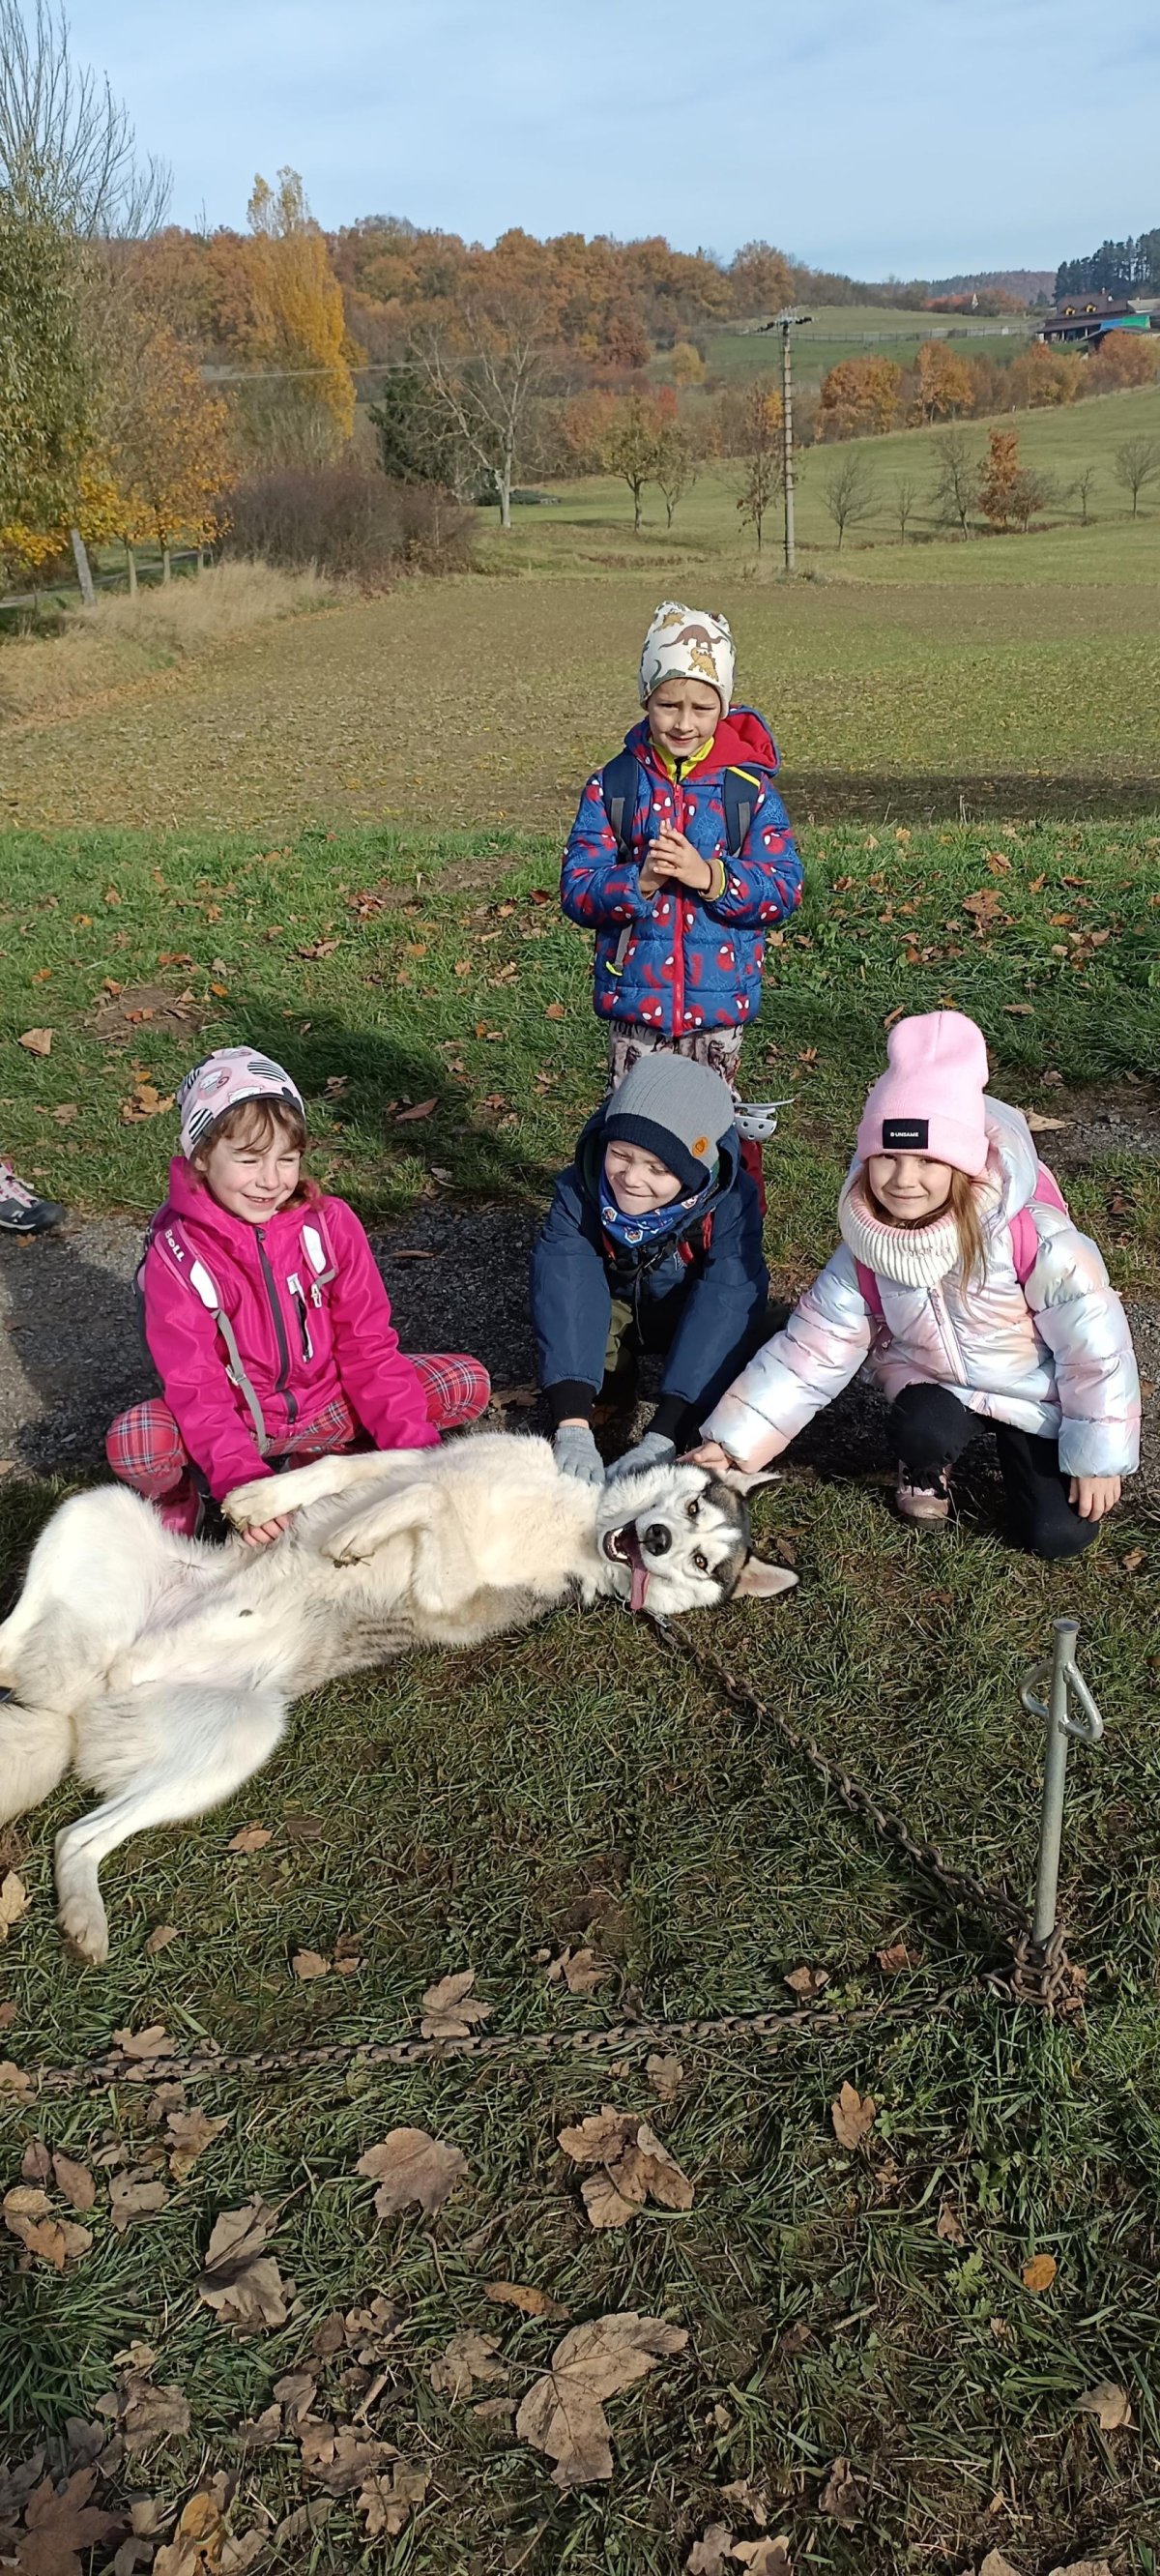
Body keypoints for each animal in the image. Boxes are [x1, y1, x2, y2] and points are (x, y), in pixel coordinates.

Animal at [0, 1433, 794, 1962]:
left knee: (77, 1836)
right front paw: (262, 1499)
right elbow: (355, 1468)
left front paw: (353, 1535)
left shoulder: (451, 1595)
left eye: (700, 1560)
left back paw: (83, 1916)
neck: (580, 1523)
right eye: (688, 1506)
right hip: (95, 1511)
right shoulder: (410, 1461)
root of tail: (81, 1695)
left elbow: (426, 1498)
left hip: (242, 1739)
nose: (655, 1539)